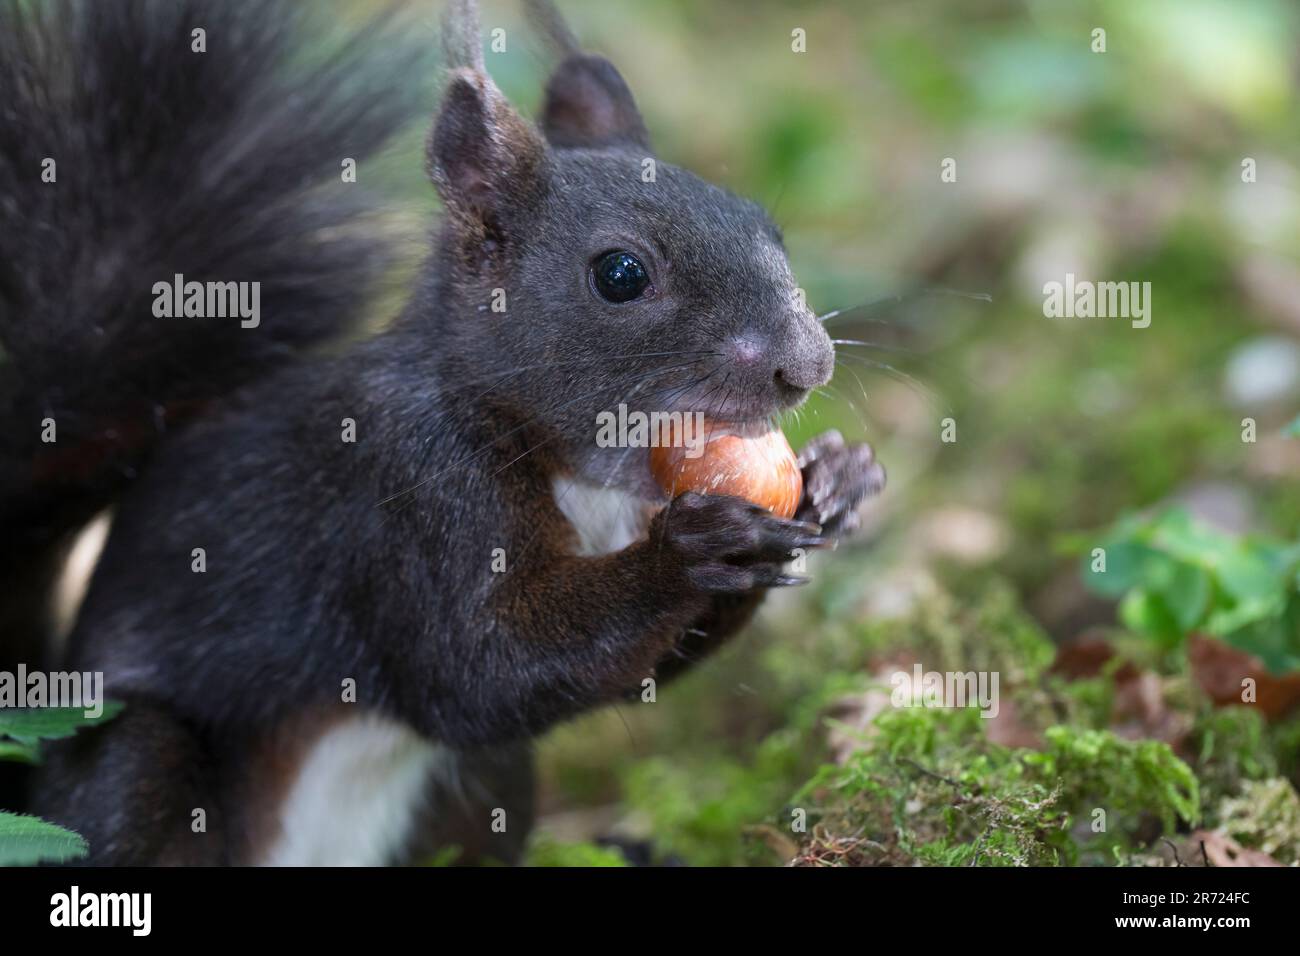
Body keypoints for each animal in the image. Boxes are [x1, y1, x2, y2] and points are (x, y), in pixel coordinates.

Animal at [0, 0, 885, 865]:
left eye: (767, 228)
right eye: (620, 274)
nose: (809, 365)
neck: (575, 471)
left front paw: (838, 480)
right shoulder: (401, 491)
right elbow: (476, 671)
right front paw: (693, 551)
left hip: (487, 787)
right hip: (134, 763)